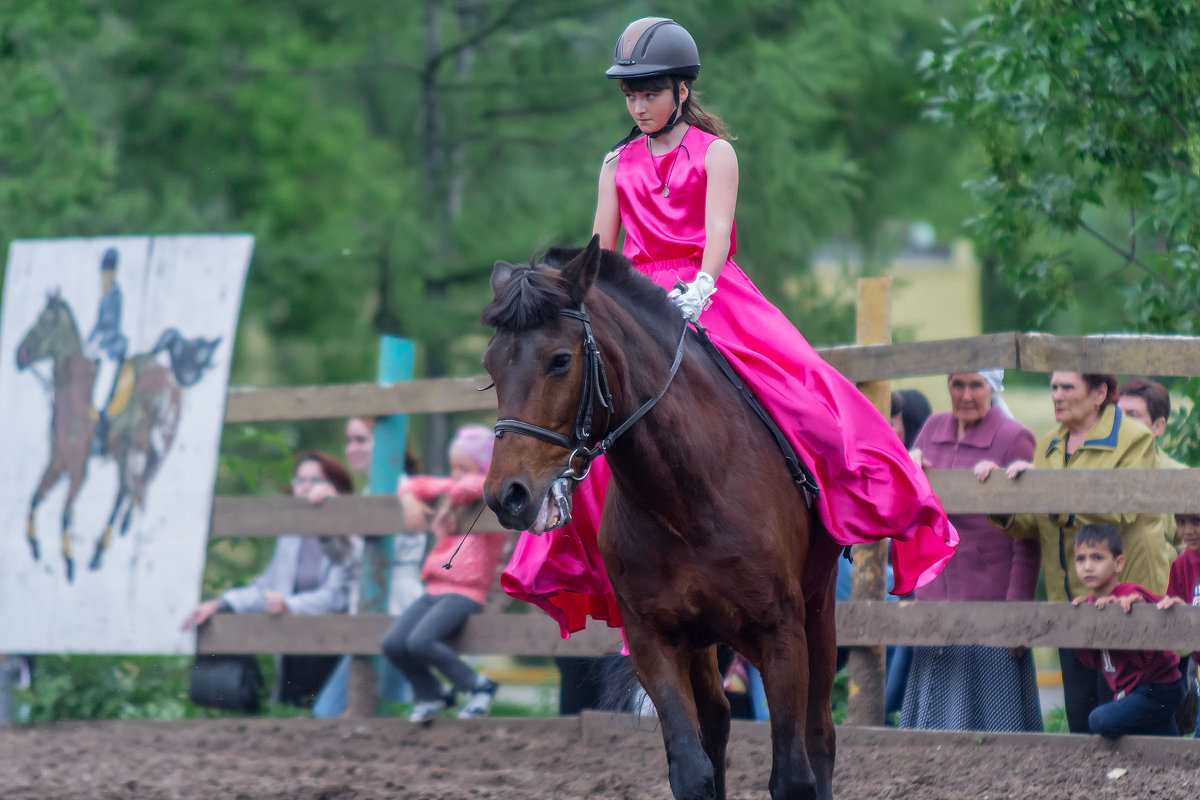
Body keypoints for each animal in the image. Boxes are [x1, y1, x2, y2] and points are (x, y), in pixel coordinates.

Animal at [482, 237, 840, 800]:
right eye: (490, 367)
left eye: (560, 361)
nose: (508, 496)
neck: (688, 494)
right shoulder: (655, 638)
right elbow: (691, 770)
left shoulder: (780, 631)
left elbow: (792, 774)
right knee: (717, 722)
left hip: (818, 608)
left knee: (819, 735)